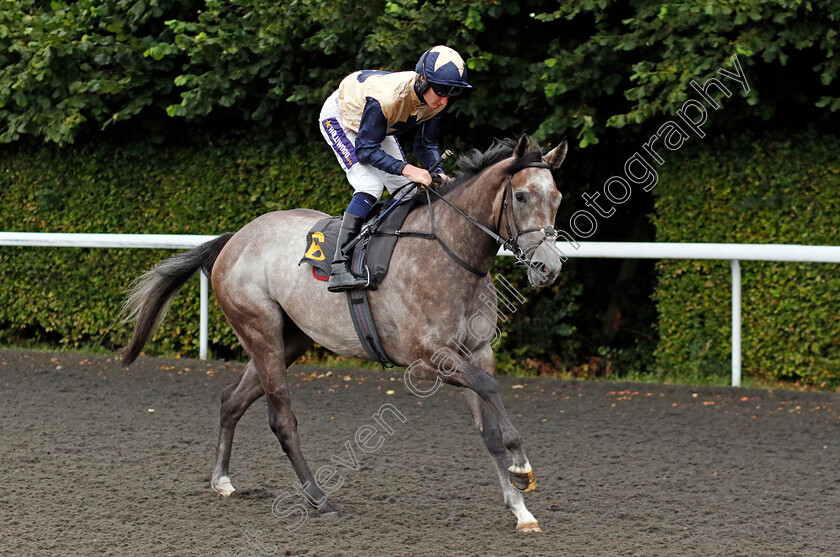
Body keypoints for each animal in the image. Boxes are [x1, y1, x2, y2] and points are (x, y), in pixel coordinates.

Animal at [121, 134, 568, 528]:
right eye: (522, 196)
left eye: (558, 197)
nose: (548, 267)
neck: (449, 252)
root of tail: (235, 238)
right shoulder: (426, 359)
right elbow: (490, 390)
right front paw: (522, 467)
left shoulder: (476, 351)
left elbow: (488, 428)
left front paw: (520, 509)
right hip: (260, 332)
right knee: (282, 420)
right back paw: (319, 499)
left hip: (290, 339)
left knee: (232, 400)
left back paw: (222, 480)